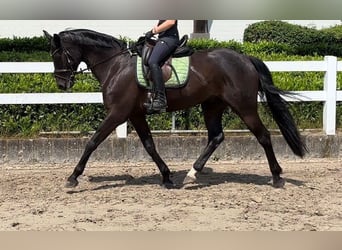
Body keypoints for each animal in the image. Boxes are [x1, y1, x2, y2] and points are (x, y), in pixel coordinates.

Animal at [43, 29, 308, 188]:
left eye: (57, 54)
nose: (61, 84)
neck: (115, 65)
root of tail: (245, 59)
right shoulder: (135, 114)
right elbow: (149, 146)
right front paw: (167, 176)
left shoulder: (118, 113)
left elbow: (93, 141)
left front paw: (73, 177)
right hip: (212, 106)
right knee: (216, 137)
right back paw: (192, 173)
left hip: (244, 107)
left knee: (263, 135)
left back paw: (277, 177)